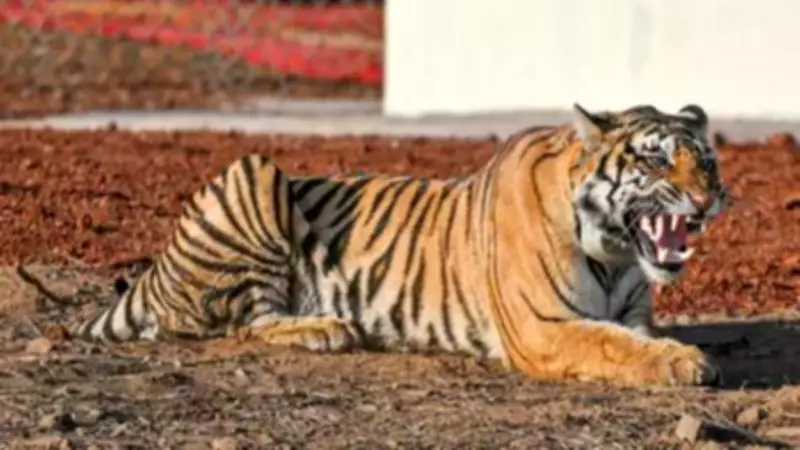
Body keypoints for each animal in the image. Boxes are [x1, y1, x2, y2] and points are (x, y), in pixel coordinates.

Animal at [68, 103, 729, 387]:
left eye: (706, 161)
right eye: (655, 161)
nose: (706, 201)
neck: (617, 254)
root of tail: (157, 269)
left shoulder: (630, 312)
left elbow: (628, 337)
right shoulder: (543, 324)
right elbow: (610, 344)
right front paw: (685, 362)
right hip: (253, 170)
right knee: (238, 324)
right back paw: (327, 328)